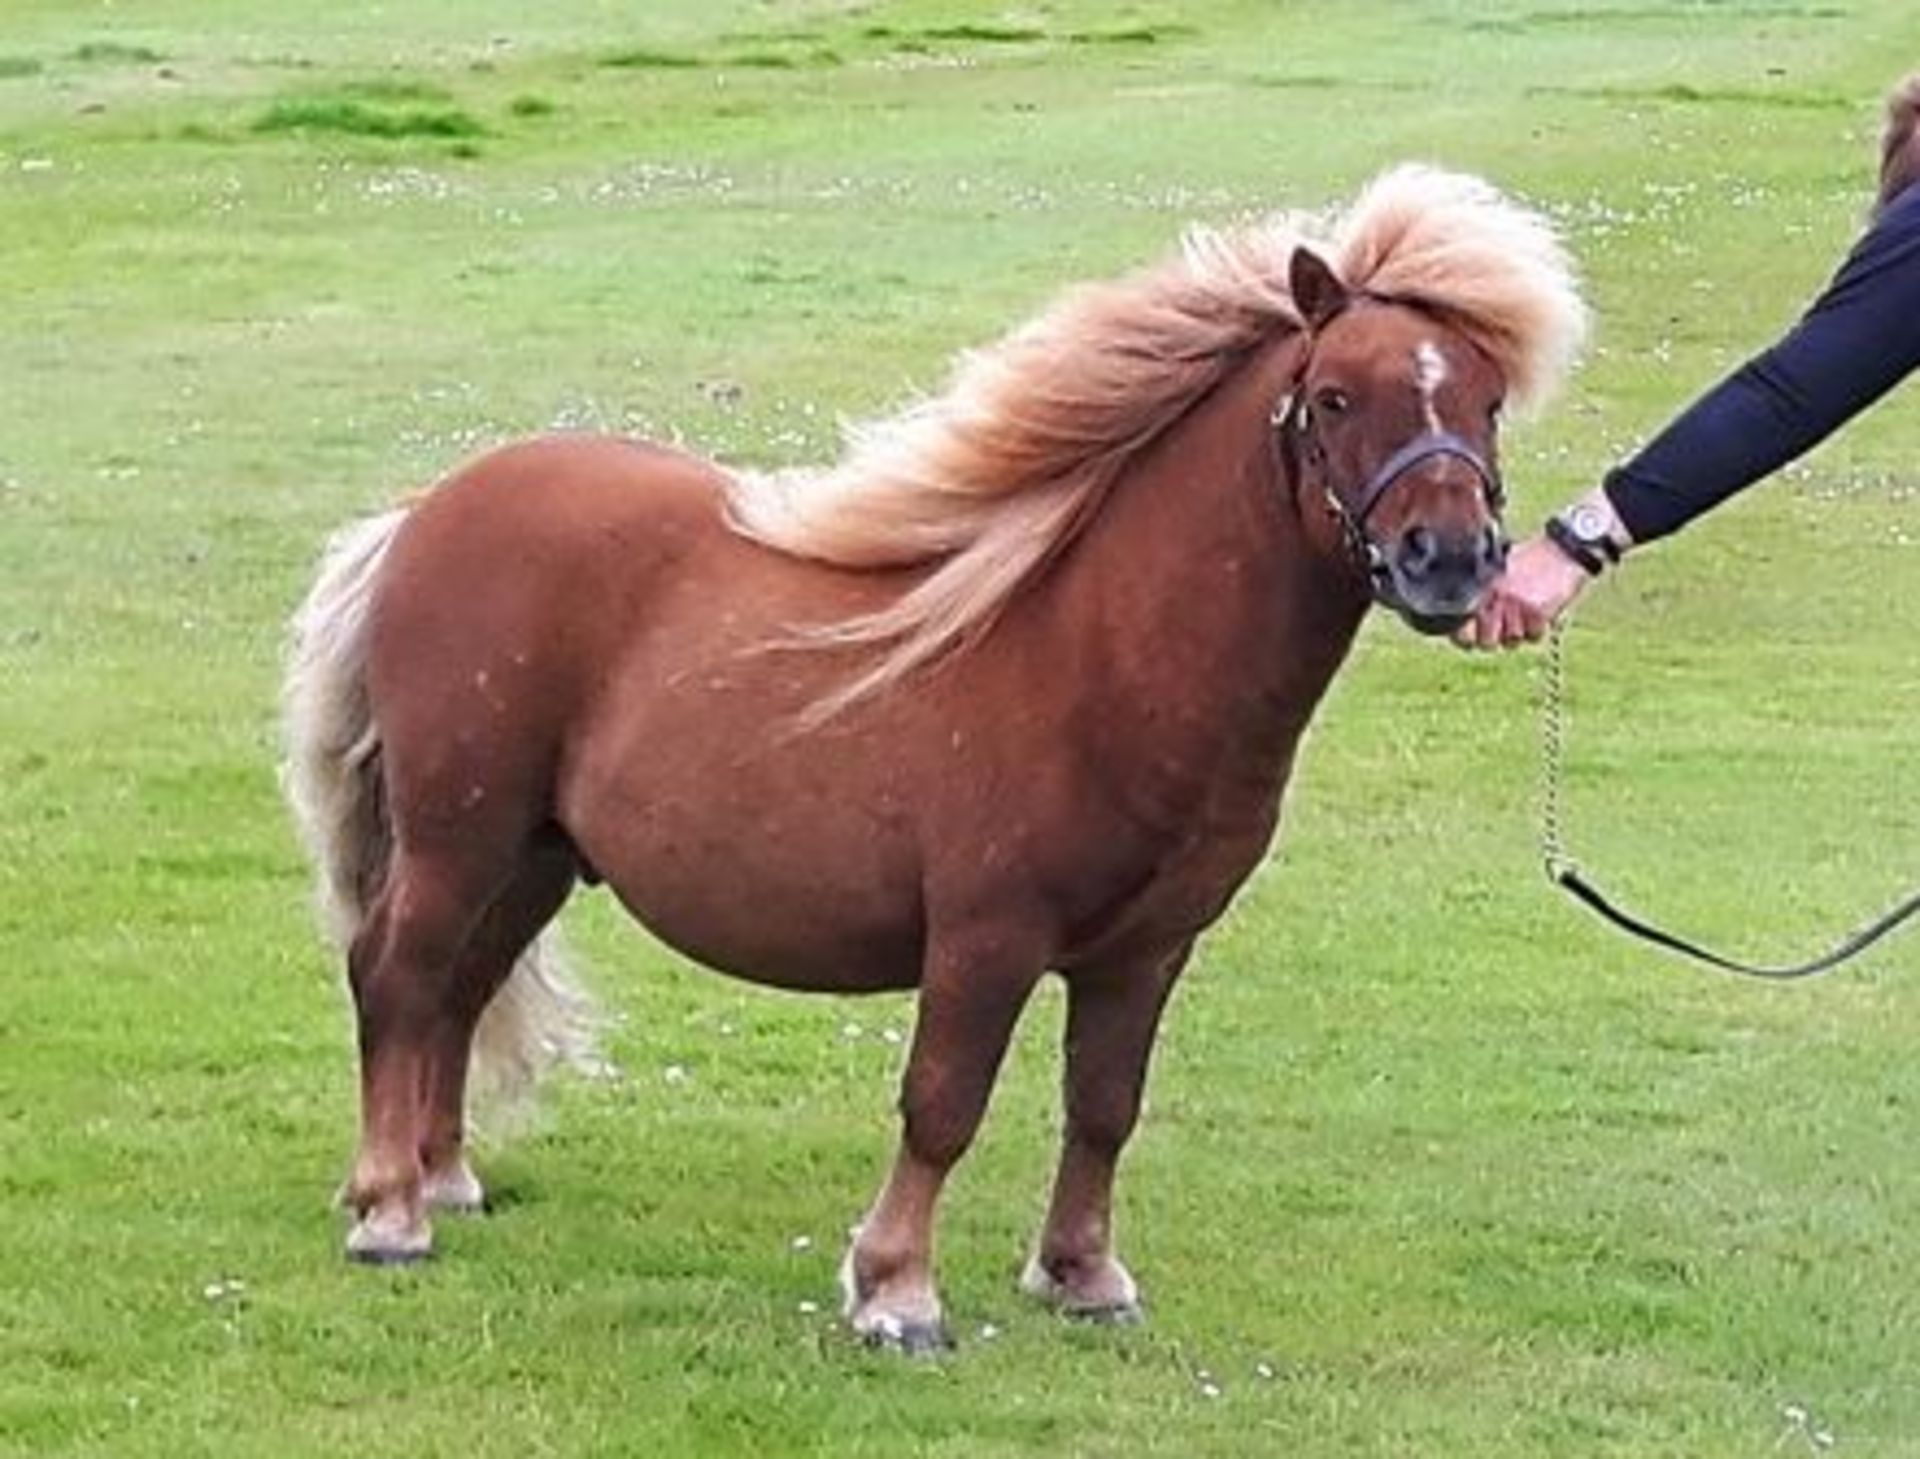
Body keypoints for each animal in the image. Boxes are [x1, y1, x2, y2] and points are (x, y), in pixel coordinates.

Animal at [280, 167, 1574, 1359]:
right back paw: (390, 1209)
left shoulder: (1147, 951)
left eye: (1486, 397)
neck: (1100, 655)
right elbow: (943, 1105)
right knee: (397, 974)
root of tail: (425, 512)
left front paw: (1083, 1273)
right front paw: (896, 1289)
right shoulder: (983, 938)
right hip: (459, 836)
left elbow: (1104, 1105)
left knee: (460, 986)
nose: (1451, 560)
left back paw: (444, 1176)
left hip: (537, 851)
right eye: (1337, 395)